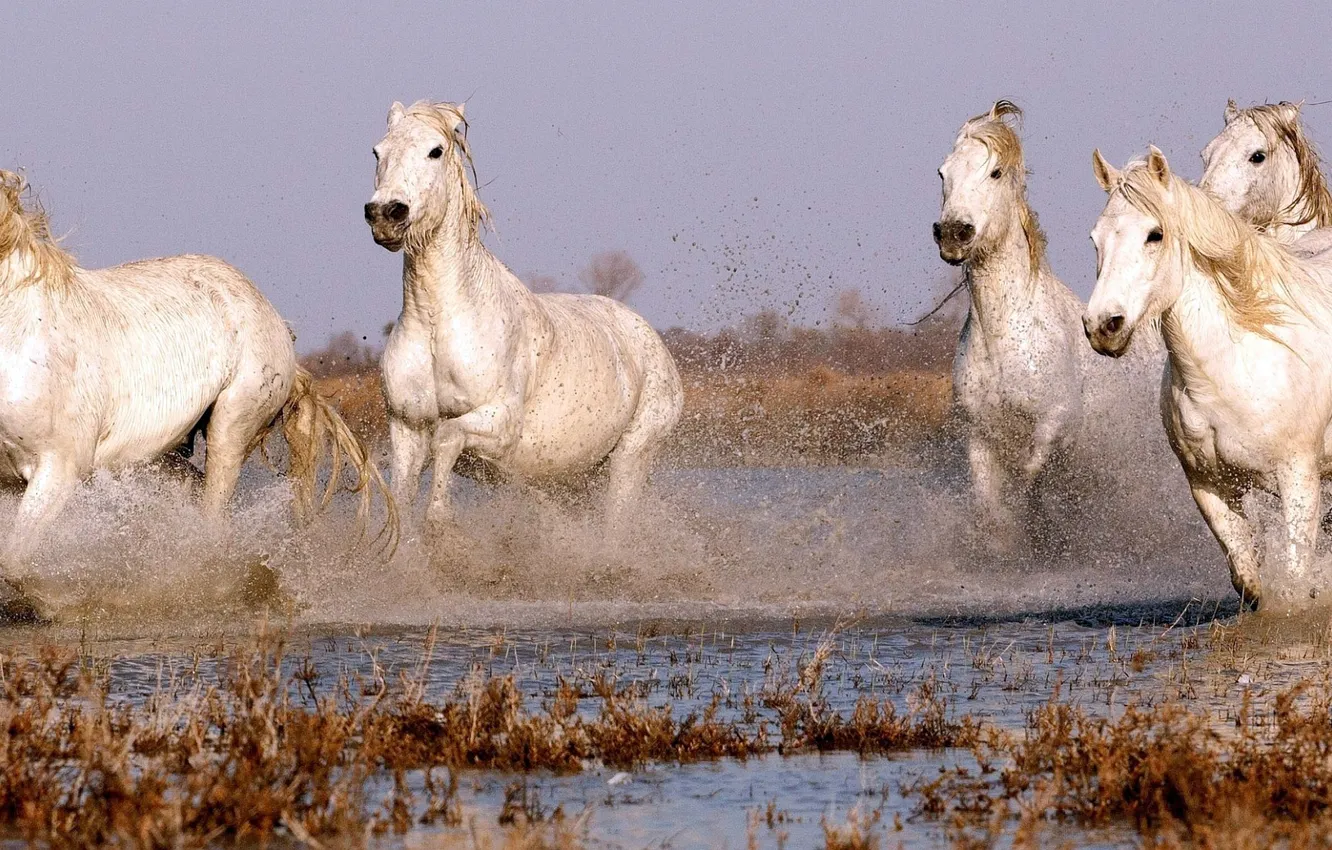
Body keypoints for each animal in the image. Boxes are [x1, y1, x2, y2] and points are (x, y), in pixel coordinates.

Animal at [0, 169, 394, 618]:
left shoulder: (58, 468)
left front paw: (58, 602)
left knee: (212, 523)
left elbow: (14, 561)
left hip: (230, 429)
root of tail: (271, 314)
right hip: (166, 454)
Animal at [364, 101, 681, 538]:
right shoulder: (407, 428)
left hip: (630, 458)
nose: (385, 214)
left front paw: (440, 518)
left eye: (435, 151)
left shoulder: (500, 424)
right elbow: (403, 493)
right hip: (576, 479)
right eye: (377, 152)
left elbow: (447, 435)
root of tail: (653, 341)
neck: (438, 323)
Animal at [932, 101, 1086, 554]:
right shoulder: (979, 436)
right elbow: (988, 504)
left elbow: (1032, 476)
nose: (953, 233)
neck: (1005, 336)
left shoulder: (1056, 423)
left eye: (995, 172)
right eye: (943, 173)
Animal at [1086, 147, 1332, 612]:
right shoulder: (1208, 486)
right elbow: (1248, 580)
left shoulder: (1299, 477)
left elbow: (1294, 578)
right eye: (1096, 239)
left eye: (1155, 235)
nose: (1103, 326)